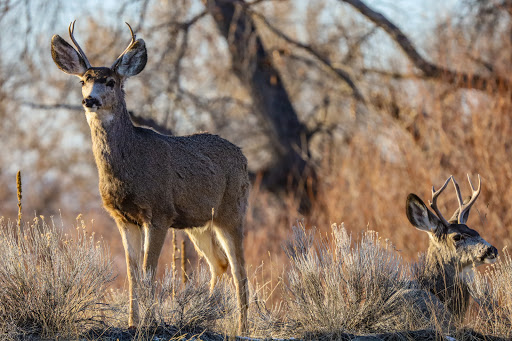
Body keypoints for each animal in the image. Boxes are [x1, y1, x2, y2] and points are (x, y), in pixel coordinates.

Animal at [51, 21, 250, 332]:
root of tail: (243, 157)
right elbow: (133, 273)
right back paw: (207, 313)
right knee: (219, 263)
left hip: (231, 211)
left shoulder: (160, 212)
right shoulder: (123, 218)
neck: (130, 167)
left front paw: (149, 321)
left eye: (111, 82)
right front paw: (133, 323)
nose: (89, 99)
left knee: (240, 270)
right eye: (83, 80)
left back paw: (241, 328)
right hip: (198, 223)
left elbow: (148, 270)